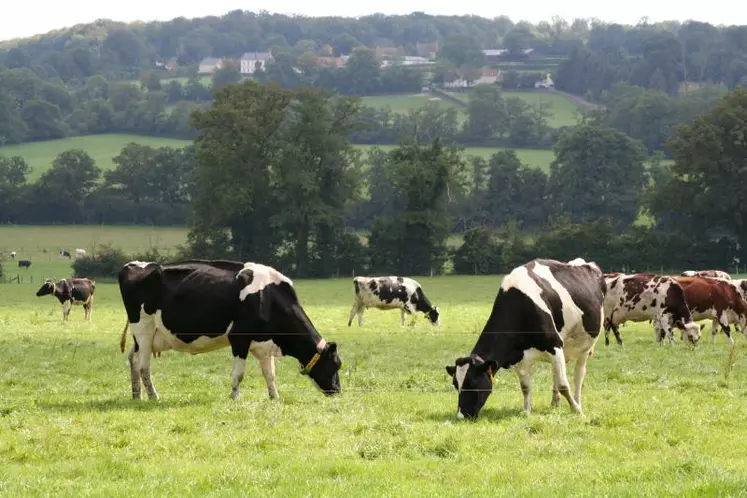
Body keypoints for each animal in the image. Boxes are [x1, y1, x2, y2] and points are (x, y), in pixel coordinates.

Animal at [118, 260, 344, 400]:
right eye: (335, 365)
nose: (337, 390)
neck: (267, 298)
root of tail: (135, 265)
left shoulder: (263, 343)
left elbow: (270, 373)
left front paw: (274, 396)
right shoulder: (240, 339)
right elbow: (239, 374)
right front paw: (235, 397)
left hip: (148, 337)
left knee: (133, 360)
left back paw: (136, 395)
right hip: (144, 330)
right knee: (144, 367)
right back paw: (153, 396)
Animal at [444, 258, 608, 418]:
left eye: (472, 383)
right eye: (456, 384)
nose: (461, 416)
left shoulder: (554, 344)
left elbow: (563, 385)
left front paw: (577, 411)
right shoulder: (518, 355)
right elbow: (526, 387)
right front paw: (527, 411)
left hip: (585, 346)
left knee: (578, 375)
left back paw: (578, 402)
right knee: (556, 374)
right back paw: (555, 403)